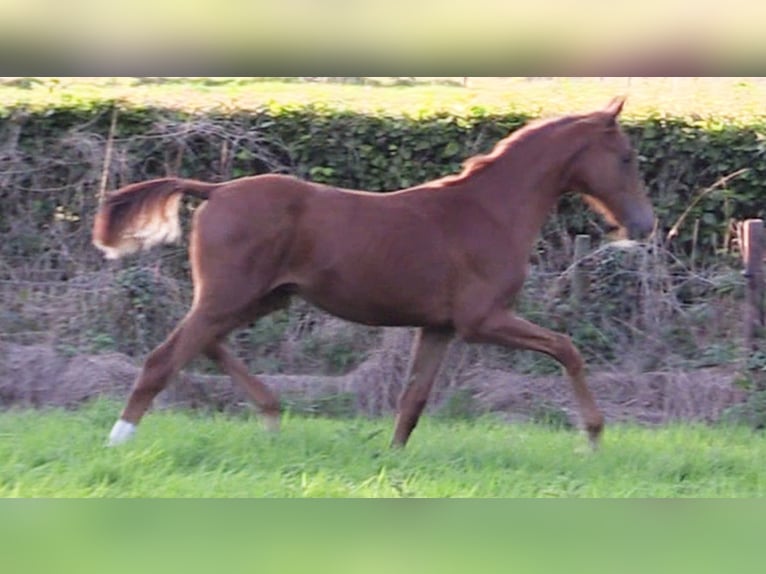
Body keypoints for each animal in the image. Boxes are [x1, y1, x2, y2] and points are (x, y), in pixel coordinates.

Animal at [91, 98, 656, 450]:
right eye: (627, 157)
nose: (644, 225)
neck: (489, 211)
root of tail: (215, 190)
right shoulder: (483, 320)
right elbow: (567, 349)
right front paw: (593, 436)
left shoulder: (439, 327)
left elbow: (413, 399)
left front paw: (392, 457)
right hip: (230, 296)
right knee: (165, 358)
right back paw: (119, 440)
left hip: (261, 298)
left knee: (205, 344)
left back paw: (272, 414)